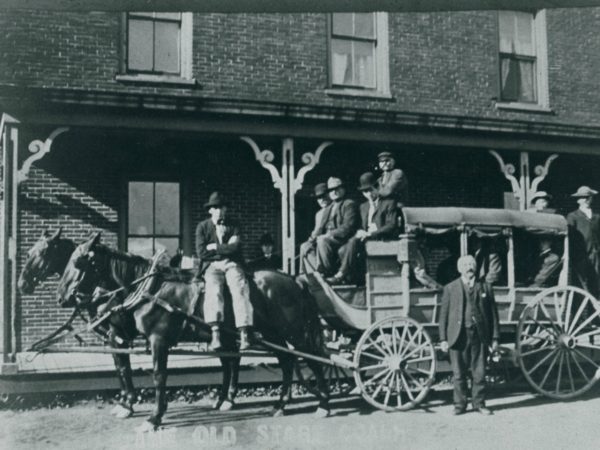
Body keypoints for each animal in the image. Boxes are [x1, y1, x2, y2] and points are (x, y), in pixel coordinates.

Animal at [56, 234, 330, 430]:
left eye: (78, 262)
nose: (61, 296)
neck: (151, 290)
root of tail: (295, 279)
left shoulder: (157, 341)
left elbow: (158, 376)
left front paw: (153, 417)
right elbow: (128, 368)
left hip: (295, 332)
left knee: (315, 361)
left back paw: (324, 404)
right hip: (275, 334)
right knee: (287, 362)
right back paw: (280, 404)